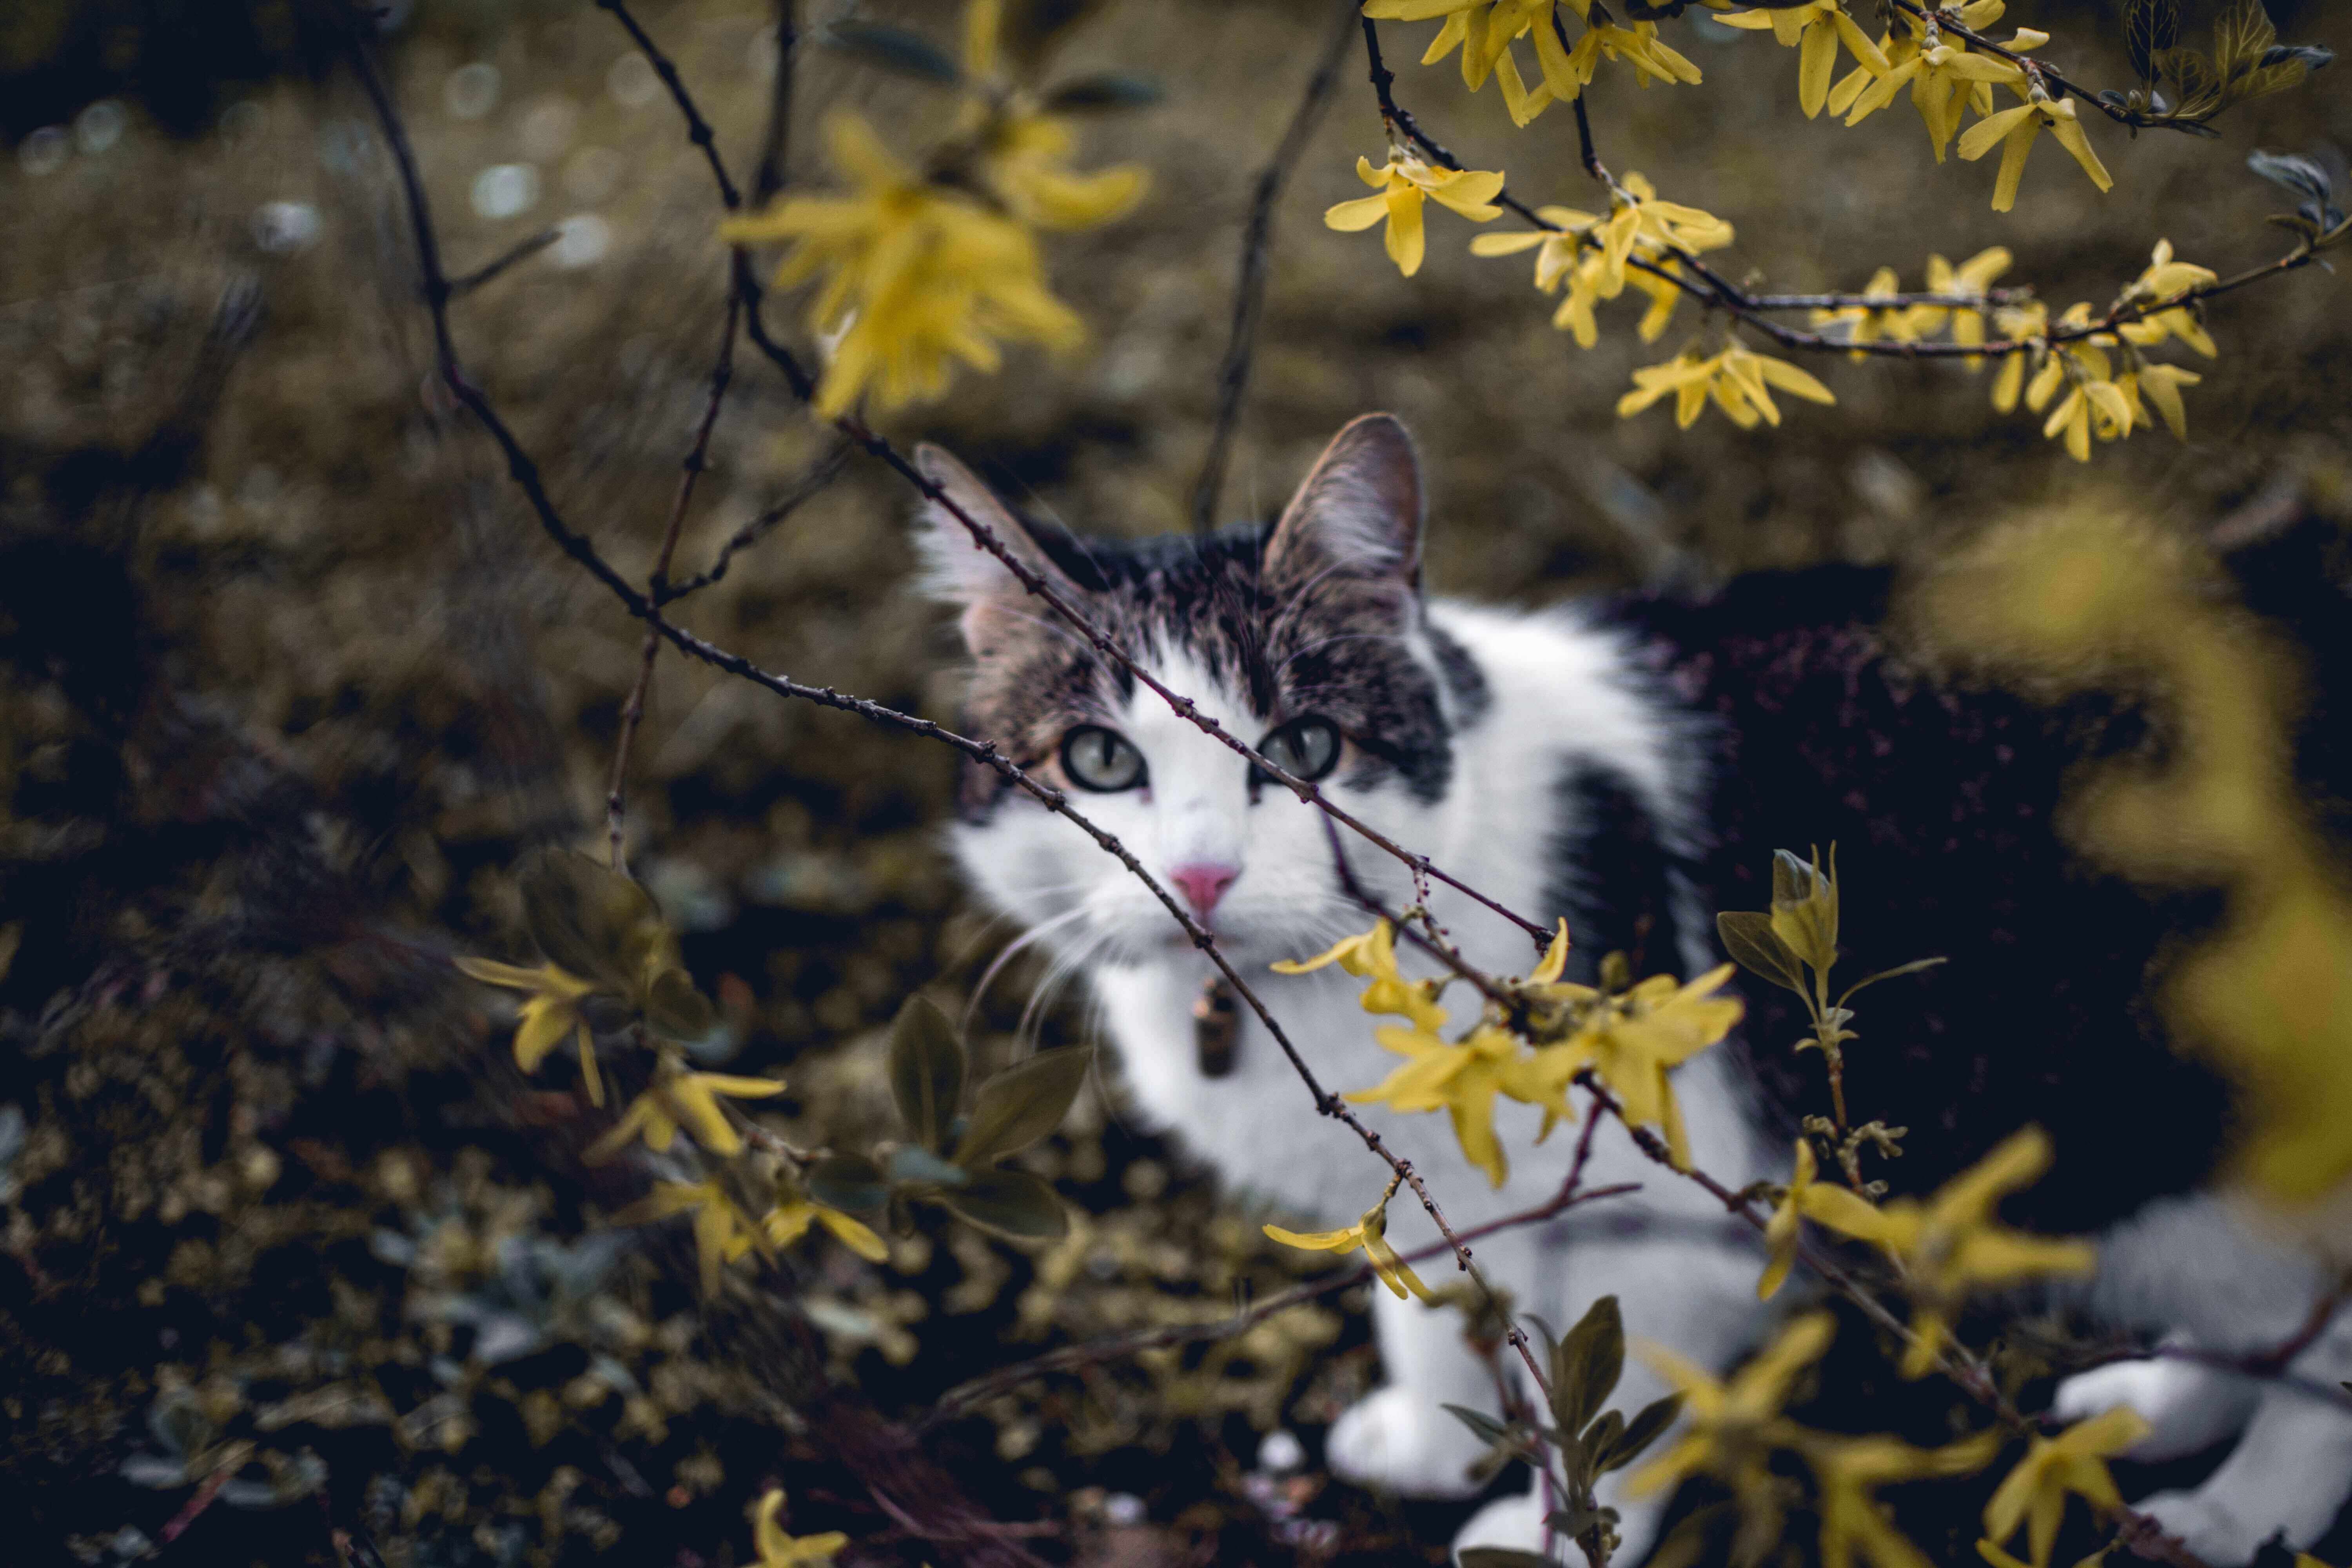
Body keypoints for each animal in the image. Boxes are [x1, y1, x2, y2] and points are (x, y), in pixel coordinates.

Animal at [913, 411, 2352, 1561]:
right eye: (1101, 761)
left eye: (1304, 748)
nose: (1203, 877)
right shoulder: (1427, 1185)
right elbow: (1433, 1308)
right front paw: (1433, 1445)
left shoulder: (1671, 1203)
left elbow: (1619, 1397)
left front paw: (1559, 1537)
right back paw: (2155, 1409)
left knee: (2319, 1336)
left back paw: (2237, 1513)